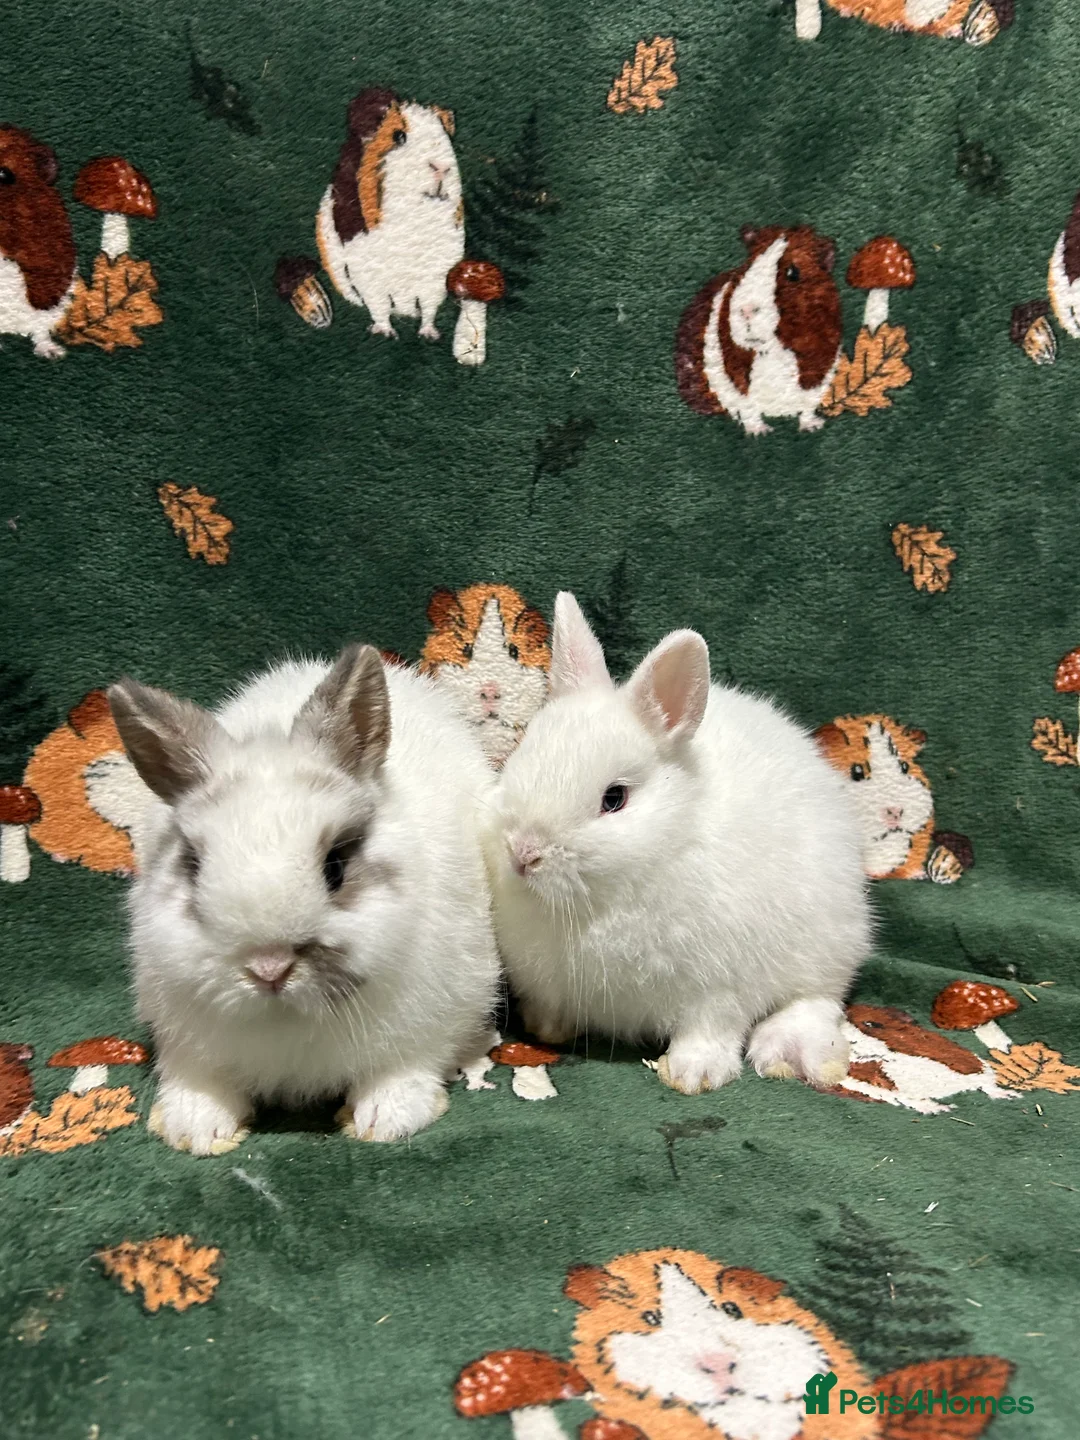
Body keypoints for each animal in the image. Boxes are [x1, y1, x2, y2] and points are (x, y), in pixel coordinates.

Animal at [107, 646, 499, 1156]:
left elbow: (404, 1069)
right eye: (193, 867)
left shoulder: (432, 1022)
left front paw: (386, 1119)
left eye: (335, 867)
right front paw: (195, 1128)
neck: (288, 1020)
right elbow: (202, 1080)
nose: (269, 969)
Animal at [487, 593, 872, 1094]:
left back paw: (792, 1050)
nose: (523, 852)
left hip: (828, 942)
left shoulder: (720, 988)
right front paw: (546, 1027)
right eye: (520, 757)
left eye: (614, 799)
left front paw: (694, 1074)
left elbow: (710, 1029)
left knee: (816, 999)